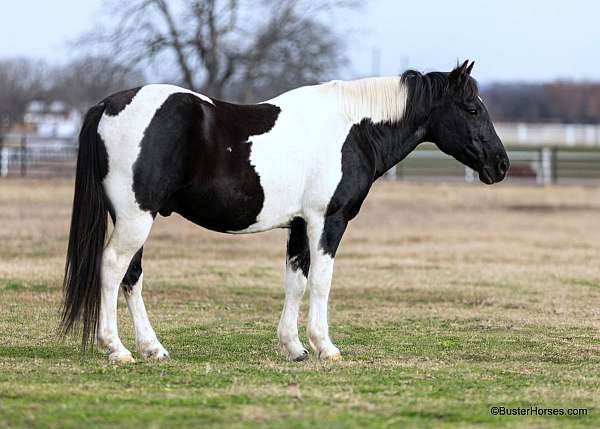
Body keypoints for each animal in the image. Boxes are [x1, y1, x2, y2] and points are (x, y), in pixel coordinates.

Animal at [61, 59, 508, 362]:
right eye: (472, 109)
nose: (501, 165)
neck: (354, 128)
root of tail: (107, 105)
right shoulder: (327, 221)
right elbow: (322, 282)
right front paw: (325, 346)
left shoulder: (298, 226)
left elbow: (295, 281)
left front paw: (293, 347)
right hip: (135, 219)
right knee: (112, 268)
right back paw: (116, 348)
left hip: (135, 219)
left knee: (131, 276)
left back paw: (152, 347)